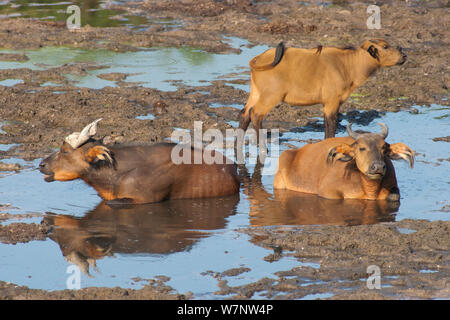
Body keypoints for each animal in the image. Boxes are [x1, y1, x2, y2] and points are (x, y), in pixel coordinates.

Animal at [239, 38, 408, 139]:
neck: (347, 65)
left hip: (256, 93)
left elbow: (328, 126)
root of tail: (258, 59)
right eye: (385, 46)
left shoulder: (332, 104)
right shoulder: (332, 102)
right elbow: (331, 128)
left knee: (245, 113)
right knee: (255, 114)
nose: (404, 54)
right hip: (271, 96)